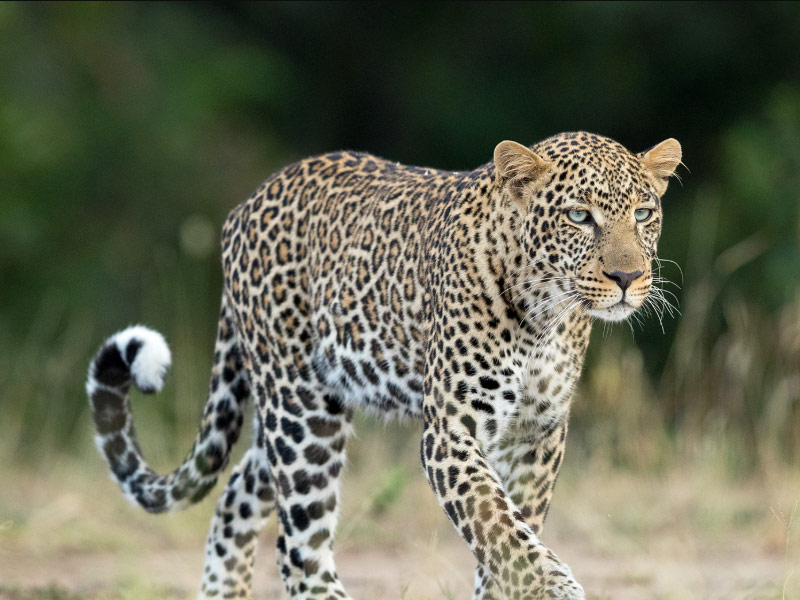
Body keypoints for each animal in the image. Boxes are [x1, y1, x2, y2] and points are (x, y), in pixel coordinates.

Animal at [86, 131, 681, 600]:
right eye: (579, 216)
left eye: (643, 214)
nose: (628, 277)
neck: (547, 317)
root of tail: (245, 204)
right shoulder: (451, 430)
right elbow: (497, 524)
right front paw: (554, 586)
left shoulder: (538, 434)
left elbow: (513, 535)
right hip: (301, 411)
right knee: (298, 548)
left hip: (291, 412)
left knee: (235, 502)